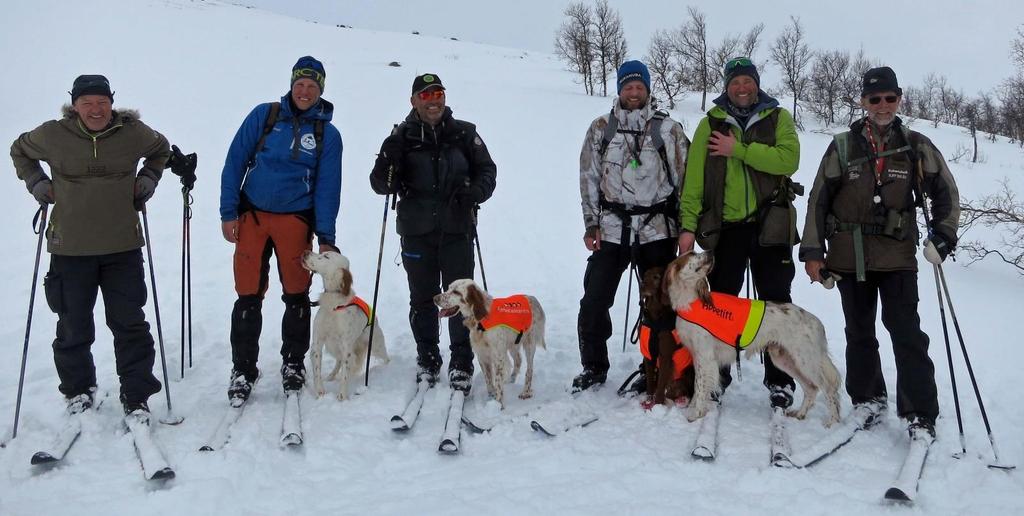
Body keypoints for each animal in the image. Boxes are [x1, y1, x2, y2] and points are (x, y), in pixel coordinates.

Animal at [638, 266, 696, 407]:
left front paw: (657, 405)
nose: (642, 285)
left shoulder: (665, 355)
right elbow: (650, 384)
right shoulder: (648, 356)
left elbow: (659, 387)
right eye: (645, 275)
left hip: (688, 370)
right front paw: (649, 401)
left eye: (656, 277)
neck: (656, 320)